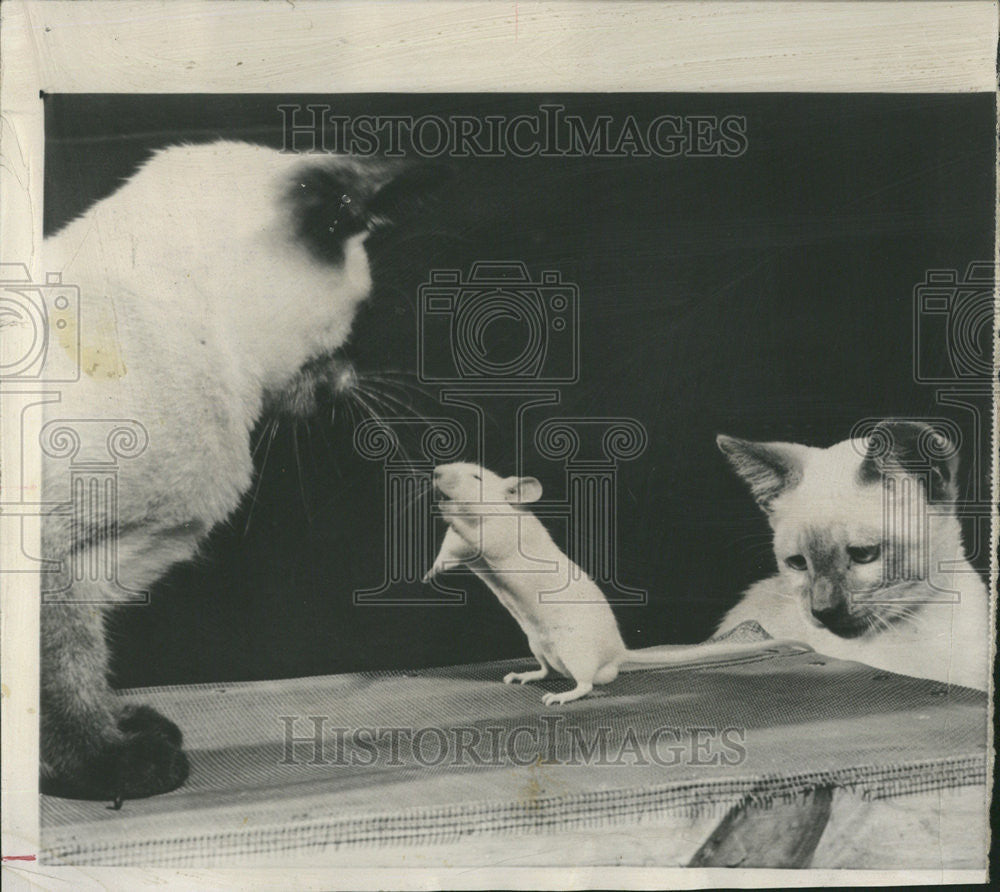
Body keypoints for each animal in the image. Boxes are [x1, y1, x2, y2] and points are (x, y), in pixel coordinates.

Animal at [41, 138, 432, 800]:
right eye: (360, 316)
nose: (352, 378)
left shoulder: (91, 564)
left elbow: (88, 661)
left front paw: (122, 728)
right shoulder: (46, 555)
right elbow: (60, 677)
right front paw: (107, 764)